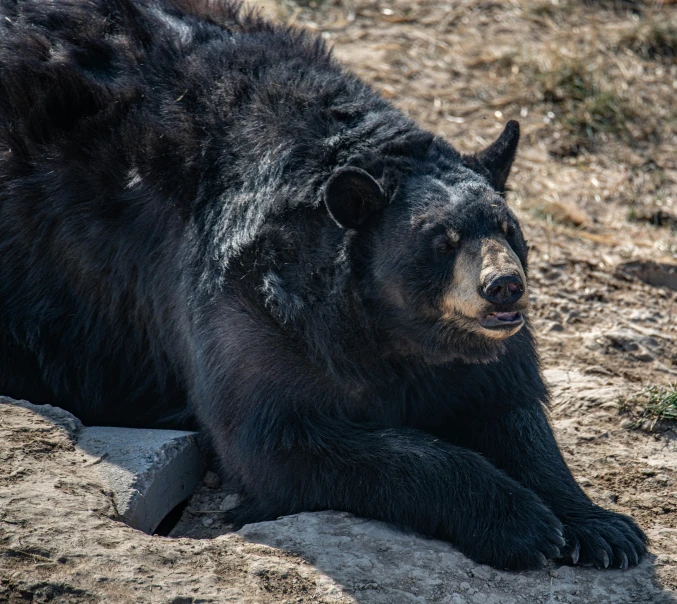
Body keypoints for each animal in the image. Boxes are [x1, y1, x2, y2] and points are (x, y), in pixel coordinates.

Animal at [0, 0, 644, 572]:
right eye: (441, 241)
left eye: (509, 229)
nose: (504, 287)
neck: (394, 330)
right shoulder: (251, 303)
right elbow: (285, 436)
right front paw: (520, 521)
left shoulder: (480, 348)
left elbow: (509, 406)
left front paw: (602, 527)